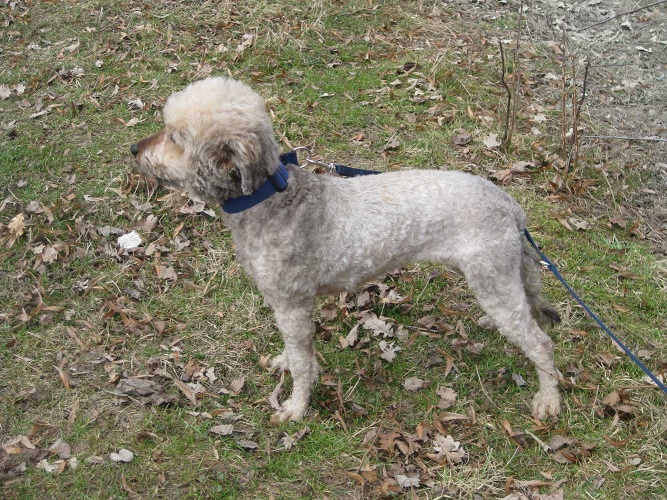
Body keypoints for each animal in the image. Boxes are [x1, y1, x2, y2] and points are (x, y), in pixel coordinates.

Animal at [130, 77, 562, 422]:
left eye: (174, 137)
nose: (134, 149)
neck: (272, 200)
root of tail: (510, 204)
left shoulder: (292, 304)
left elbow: (303, 364)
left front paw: (296, 407)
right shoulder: (284, 306)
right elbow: (295, 353)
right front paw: (285, 364)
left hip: (493, 278)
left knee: (540, 342)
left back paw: (549, 399)